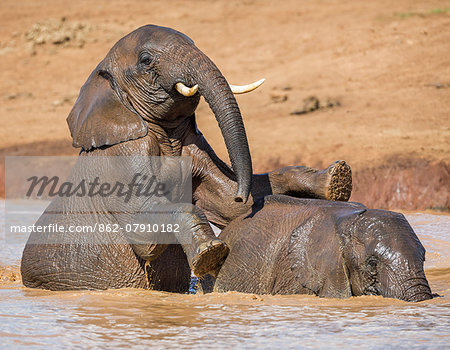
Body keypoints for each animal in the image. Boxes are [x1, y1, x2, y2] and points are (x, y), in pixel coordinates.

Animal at [20, 26, 352, 292]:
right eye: (146, 60)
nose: (243, 192)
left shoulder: (194, 147)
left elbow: (227, 205)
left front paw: (336, 180)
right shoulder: (122, 154)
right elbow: (145, 232)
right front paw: (210, 253)